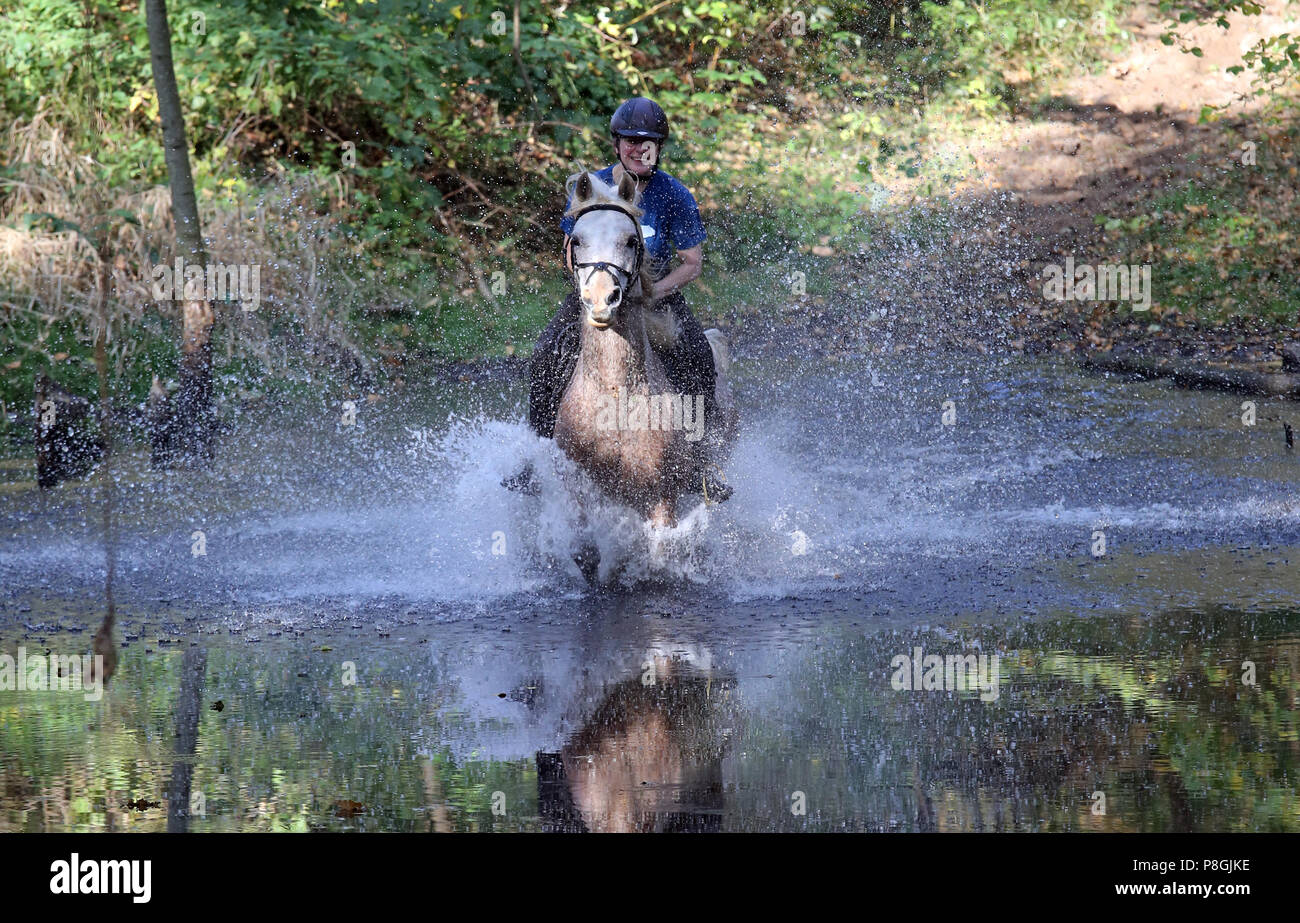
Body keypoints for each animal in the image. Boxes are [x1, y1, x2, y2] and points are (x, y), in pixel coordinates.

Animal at [548, 166, 738, 535]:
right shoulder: (578, 495)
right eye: (576, 240)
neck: (614, 395)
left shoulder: (662, 499)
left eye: (631, 241)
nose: (601, 300)